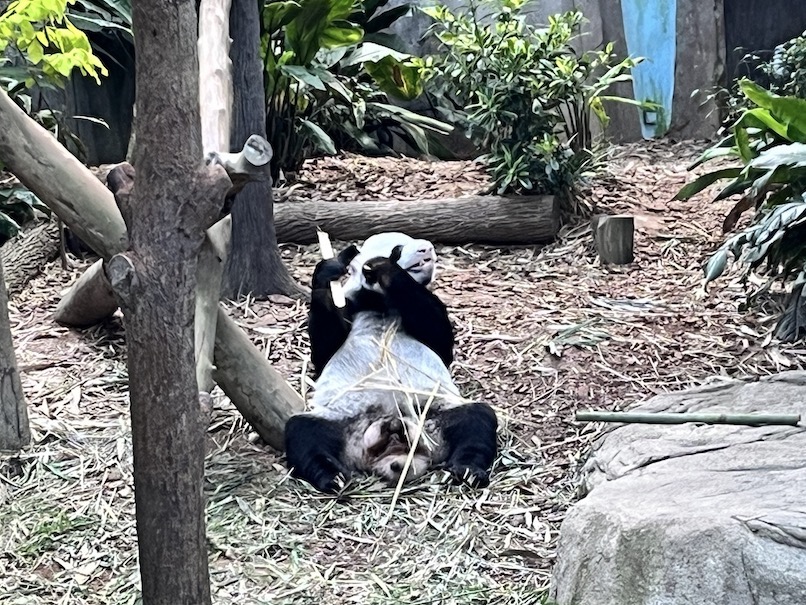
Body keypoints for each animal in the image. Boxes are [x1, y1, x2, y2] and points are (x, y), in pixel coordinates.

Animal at [284, 234, 498, 494]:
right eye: (398, 249)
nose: (426, 248)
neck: (380, 302)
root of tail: (395, 451)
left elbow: (439, 338)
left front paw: (385, 270)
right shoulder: (349, 304)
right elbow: (323, 351)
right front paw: (330, 271)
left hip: (433, 413)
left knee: (477, 421)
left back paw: (467, 470)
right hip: (337, 419)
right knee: (303, 433)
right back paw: (332, 477)